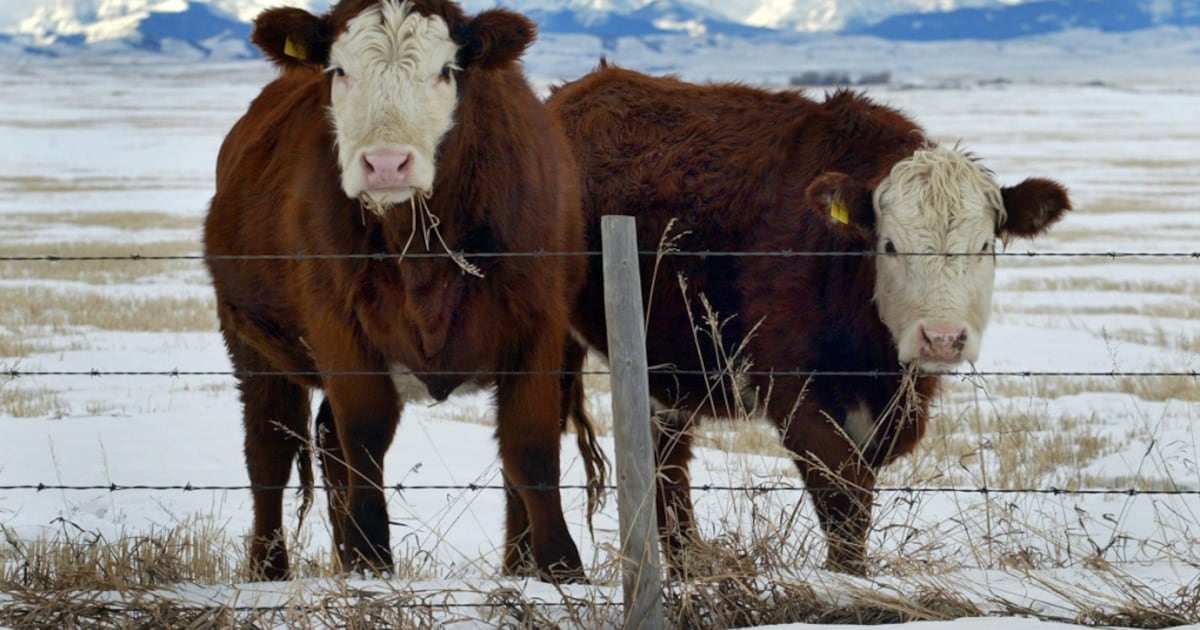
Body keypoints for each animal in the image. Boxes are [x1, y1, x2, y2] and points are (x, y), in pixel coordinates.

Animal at [203, 0, 602, 583]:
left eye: (445, 70)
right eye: (339, 70)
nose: (387, 163)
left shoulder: (539, 326)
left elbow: (529, 447)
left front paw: (558, 569)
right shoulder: (337, 324)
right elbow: (365, 437)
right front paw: (371, 559)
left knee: (326, 442)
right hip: (250, 343)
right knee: (271, 451)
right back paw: (269, 569)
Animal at [547, 64, 1070, 576]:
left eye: (983, 246)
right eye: (890, 245)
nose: (942, 339)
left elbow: (858, 496)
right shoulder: (790, 389)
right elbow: (841, 495)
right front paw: (847, 581)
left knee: (665, 459)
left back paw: (688, 565)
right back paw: (554, 566)